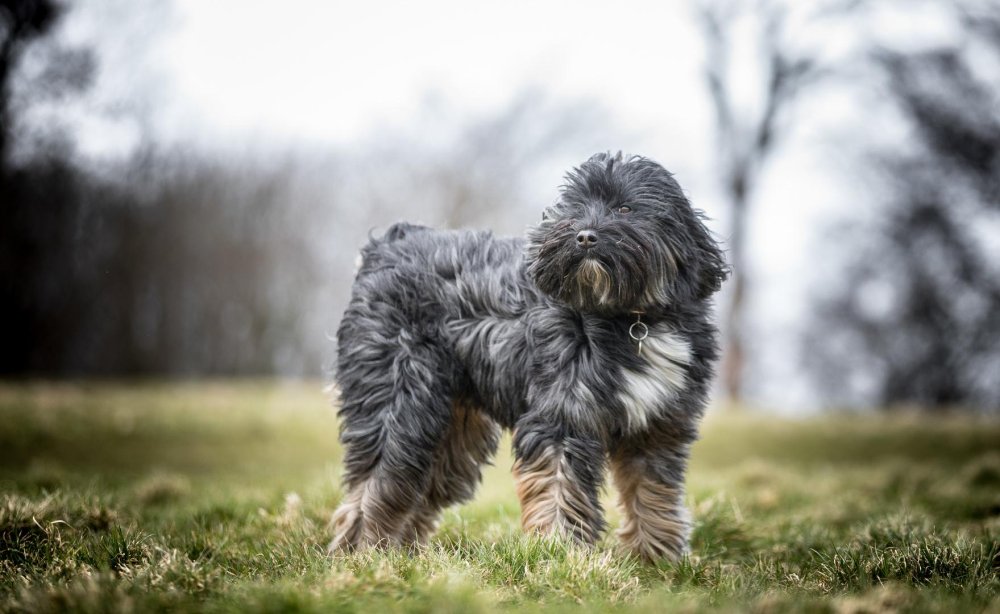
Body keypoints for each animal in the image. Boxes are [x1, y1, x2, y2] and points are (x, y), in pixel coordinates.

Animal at [328, 153, 728, 564]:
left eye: (625, 208)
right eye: (575, 207)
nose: (584, 236)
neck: (631, 318)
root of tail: (387, 245)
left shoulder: (658, 426)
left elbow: (653, 492)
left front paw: (659, 557)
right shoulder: (562, 415)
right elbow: (558, 485)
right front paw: (559, 552)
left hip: (452, 430)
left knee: (418, 484)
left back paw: (402, 554)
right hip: (400, 400)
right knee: (379, 478)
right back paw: (365, 552)